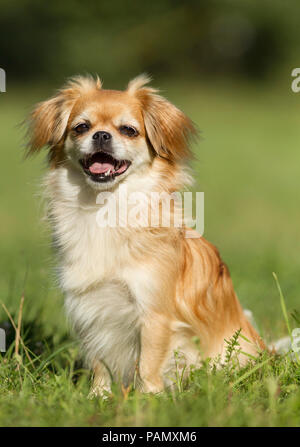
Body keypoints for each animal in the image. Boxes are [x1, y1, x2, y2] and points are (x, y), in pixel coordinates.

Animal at [27, 74, 264, 396]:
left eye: (129, 130)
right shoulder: (91, 308)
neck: (105, 208)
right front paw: (98, 396)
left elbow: (149, 363)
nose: (101, 135)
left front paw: (147, 398)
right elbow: (100, 360)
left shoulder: (154, 314)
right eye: (81, 127)